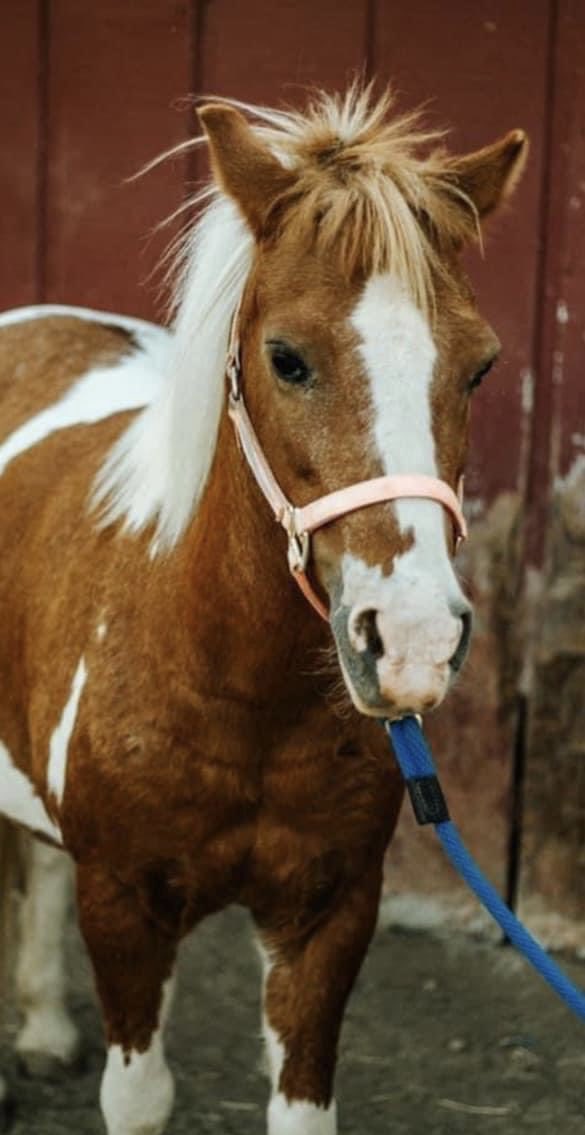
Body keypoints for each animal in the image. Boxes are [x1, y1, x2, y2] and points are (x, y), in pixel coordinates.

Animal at [0, 85, 526, 1134]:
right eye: (286, 358)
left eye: (481, 366)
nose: (412, 641)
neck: (237, 688)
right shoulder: (123, 906)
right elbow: (139, 1097)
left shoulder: (328, 912)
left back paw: (40, 1029)